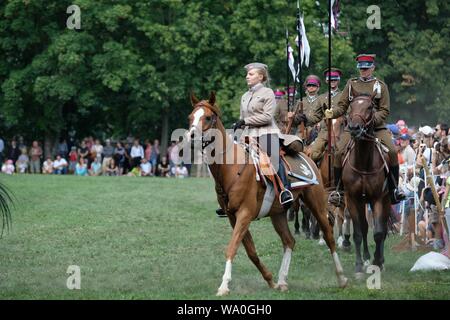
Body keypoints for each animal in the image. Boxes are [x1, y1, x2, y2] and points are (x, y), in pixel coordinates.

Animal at [186, 92, 348, 296]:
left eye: (207, 117)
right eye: (190, 117)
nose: (191, 137)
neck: (232, 167)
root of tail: (308, 155)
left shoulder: (245, 214)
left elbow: (232, 248)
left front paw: (224, 285)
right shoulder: (233, 217)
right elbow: (251, 251)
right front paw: (270, 280)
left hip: (316, 204)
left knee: (328, 236)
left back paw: (341, 278)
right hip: (278, 214)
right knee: (289, 241)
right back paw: (282, 281)